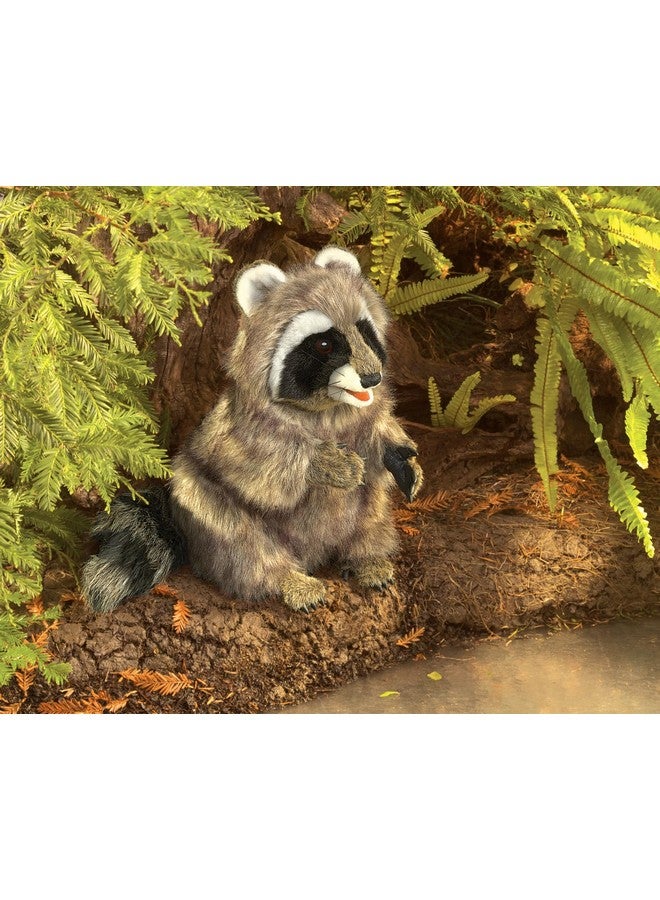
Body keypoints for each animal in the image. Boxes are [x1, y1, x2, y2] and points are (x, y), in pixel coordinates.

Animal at [82, 247, 423, 613]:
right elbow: (258, 465)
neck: (327, 407)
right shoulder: (242, 426)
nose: (372, 378)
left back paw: (367, 556)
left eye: (364, 330)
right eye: (325, 345)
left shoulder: (362, 416)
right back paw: (286, 577)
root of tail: (315, 555)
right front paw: (321, 461)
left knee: (372, 506)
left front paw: (400, 454)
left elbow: (377, 436)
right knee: (237, 536)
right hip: (204, 510)